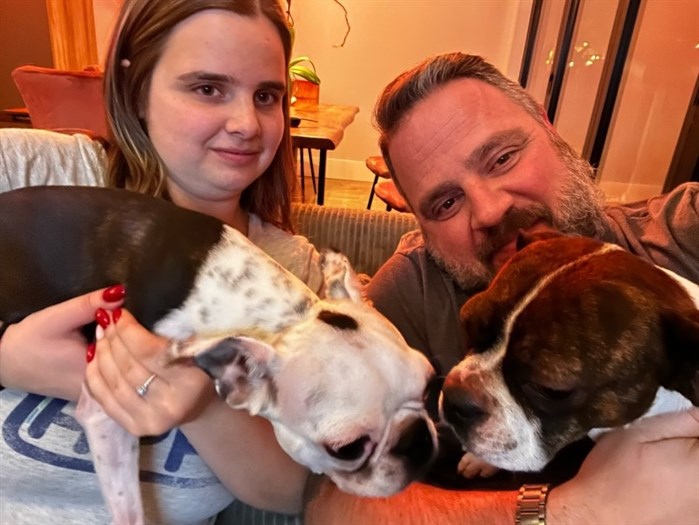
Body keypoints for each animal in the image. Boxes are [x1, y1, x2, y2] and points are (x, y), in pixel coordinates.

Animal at [0, 186, 438, 524]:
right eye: (347, 449)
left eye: (429, 385)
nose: (417, 441)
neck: (285, 320)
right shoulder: (104, 412)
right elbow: (130, 510)